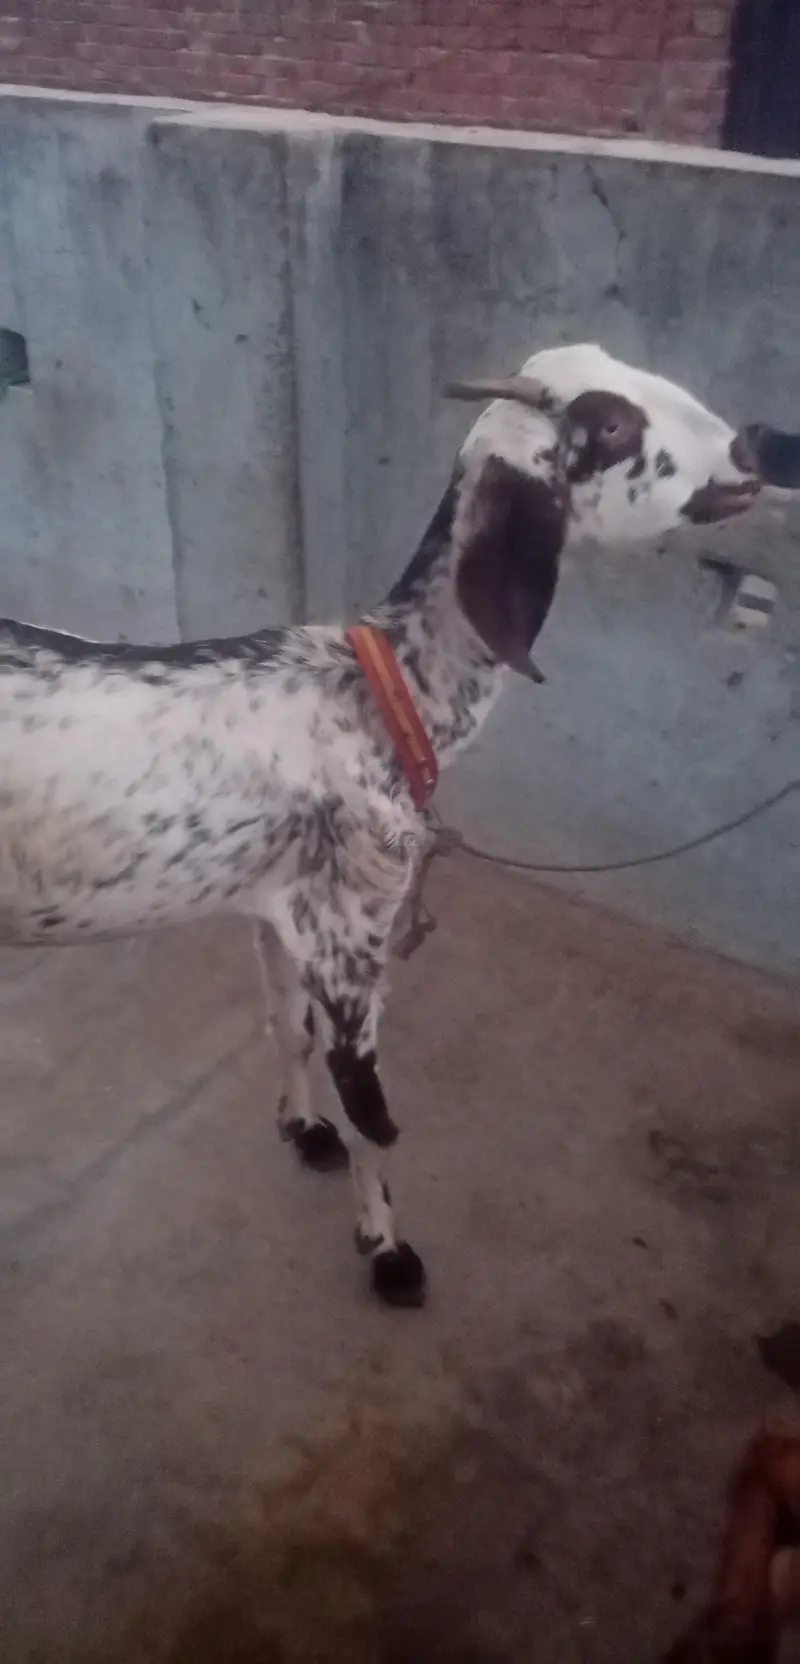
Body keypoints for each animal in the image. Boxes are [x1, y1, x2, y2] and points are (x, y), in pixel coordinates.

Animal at [0, 343, 795, 1306]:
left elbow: (285, 1025)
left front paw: (301, 1130)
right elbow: (375, 1120)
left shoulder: (274, 909)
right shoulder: (349, 938)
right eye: (608, 424)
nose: (755, 447)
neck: (382, 693)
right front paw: (388, 1251)